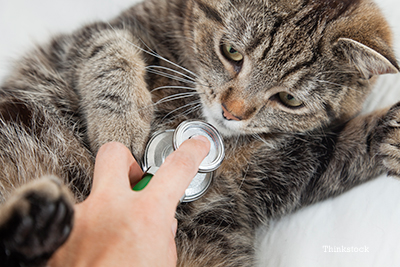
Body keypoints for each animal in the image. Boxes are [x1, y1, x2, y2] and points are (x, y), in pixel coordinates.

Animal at [0, 0, 400, 266]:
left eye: (289, 99)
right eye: (231, 51)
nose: (231, 112)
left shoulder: (290, 167)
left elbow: (344, 149)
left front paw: (390, 134)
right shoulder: (87, 37)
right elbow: (110, 51)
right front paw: (120, 128)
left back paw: (39, 223)